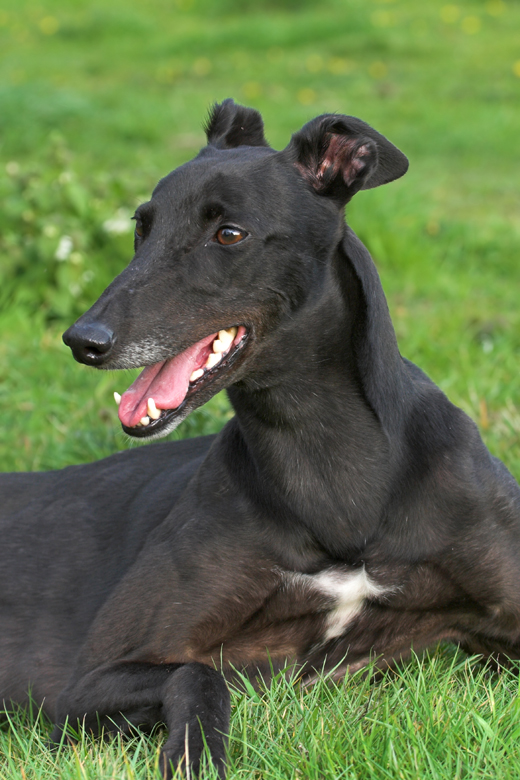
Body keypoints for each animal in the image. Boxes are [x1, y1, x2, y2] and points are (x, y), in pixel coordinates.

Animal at [2, 99, 520, 778]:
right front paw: (196, 755)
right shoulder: (88, 679)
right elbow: (199, 673)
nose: (84, 341)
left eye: (229, 234)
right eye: (142, 226)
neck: (331, 466)